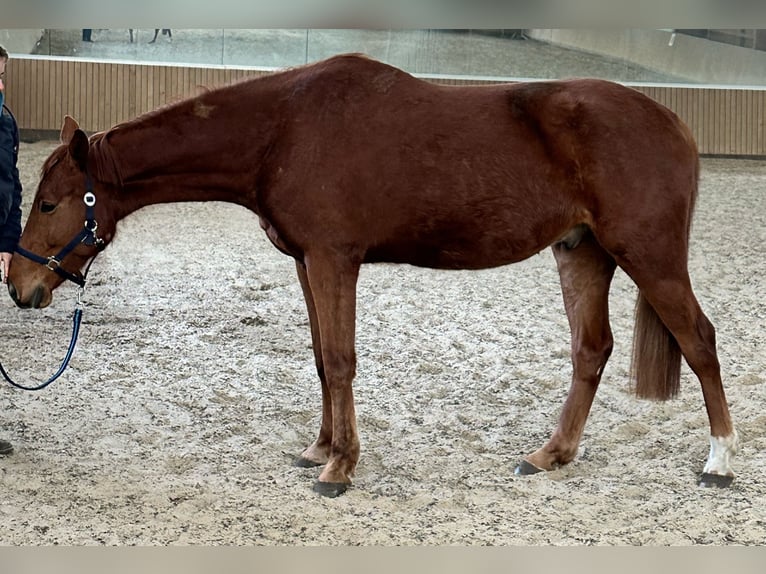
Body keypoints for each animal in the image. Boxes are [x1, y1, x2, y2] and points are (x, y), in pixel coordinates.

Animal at [7, 53, 738, 497]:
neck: (283, 130)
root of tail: (672, 122)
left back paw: (719, 461)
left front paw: (340, 466)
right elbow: (319, 357)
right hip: (581, 252)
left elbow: (339, 359)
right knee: (591, 350)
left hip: (650, 255)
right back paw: (550, 455)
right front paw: (320, 448)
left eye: (49, 204)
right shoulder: (307, 262)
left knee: (699, 340)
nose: (20, 287)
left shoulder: (334, 259)